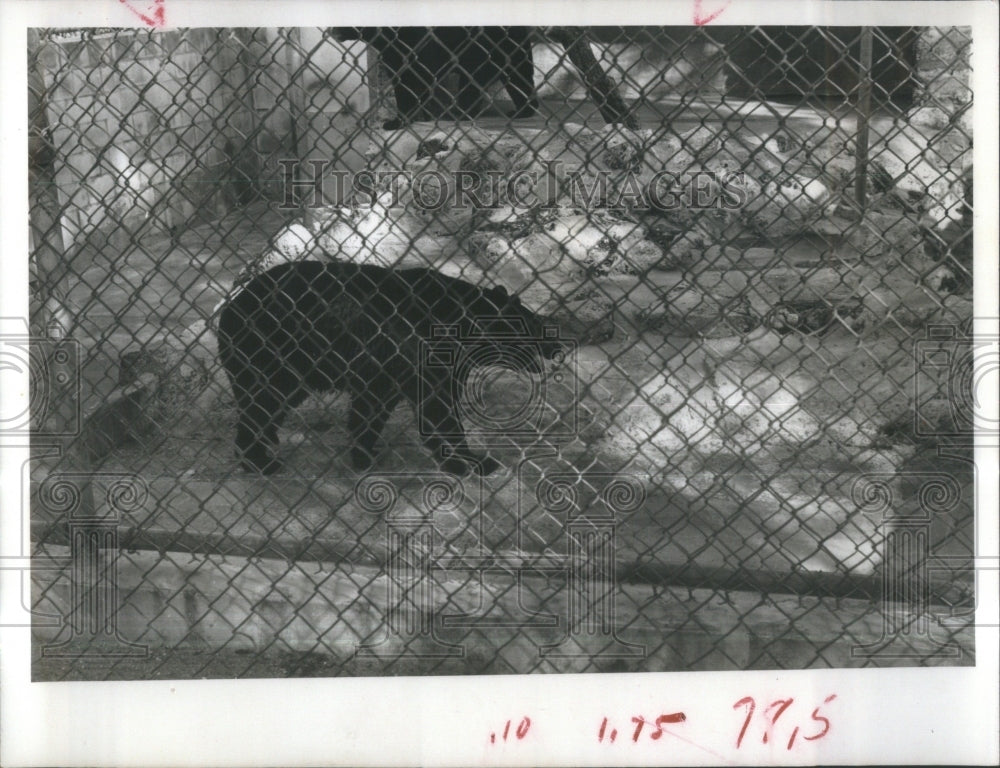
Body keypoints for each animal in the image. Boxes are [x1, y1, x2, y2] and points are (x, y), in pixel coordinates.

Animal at [216, 262, 568, 474]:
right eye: (534, 324)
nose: (557, 344)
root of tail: (228, 311)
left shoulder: (385, 376)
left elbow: (371, 412)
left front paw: (364, 454)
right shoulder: (419, 360)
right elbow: (438, 412)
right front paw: (470, 461)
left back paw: (268, 442)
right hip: (268, 357)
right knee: (261, 406)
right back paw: (259, 461)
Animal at [338, 26, 540, 129]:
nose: (333, 28)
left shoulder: (414, 61)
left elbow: (406, 94)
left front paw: (398, 122)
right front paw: (421, 117)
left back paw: (461, 114)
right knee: (518, 81)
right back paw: (522, 111)